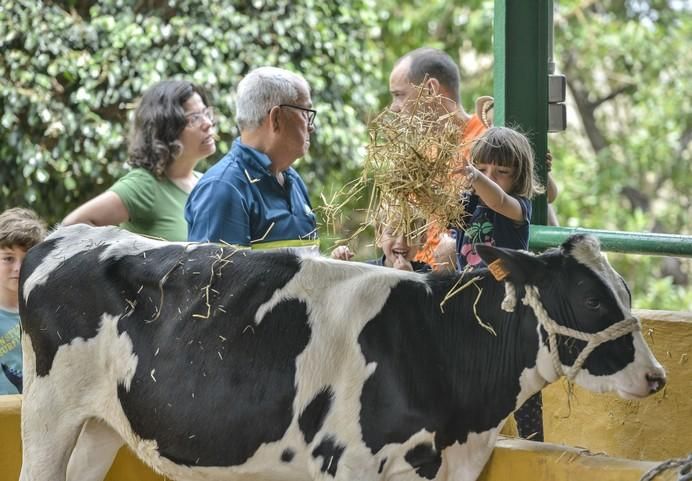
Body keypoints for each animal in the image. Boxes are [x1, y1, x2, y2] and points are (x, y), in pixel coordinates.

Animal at [17, 225, 664, 480]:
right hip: (47, 418)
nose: (657, 377)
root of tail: (65, 235)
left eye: (627, 292)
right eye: (591, 298)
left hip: (103, 422)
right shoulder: (349, 462)